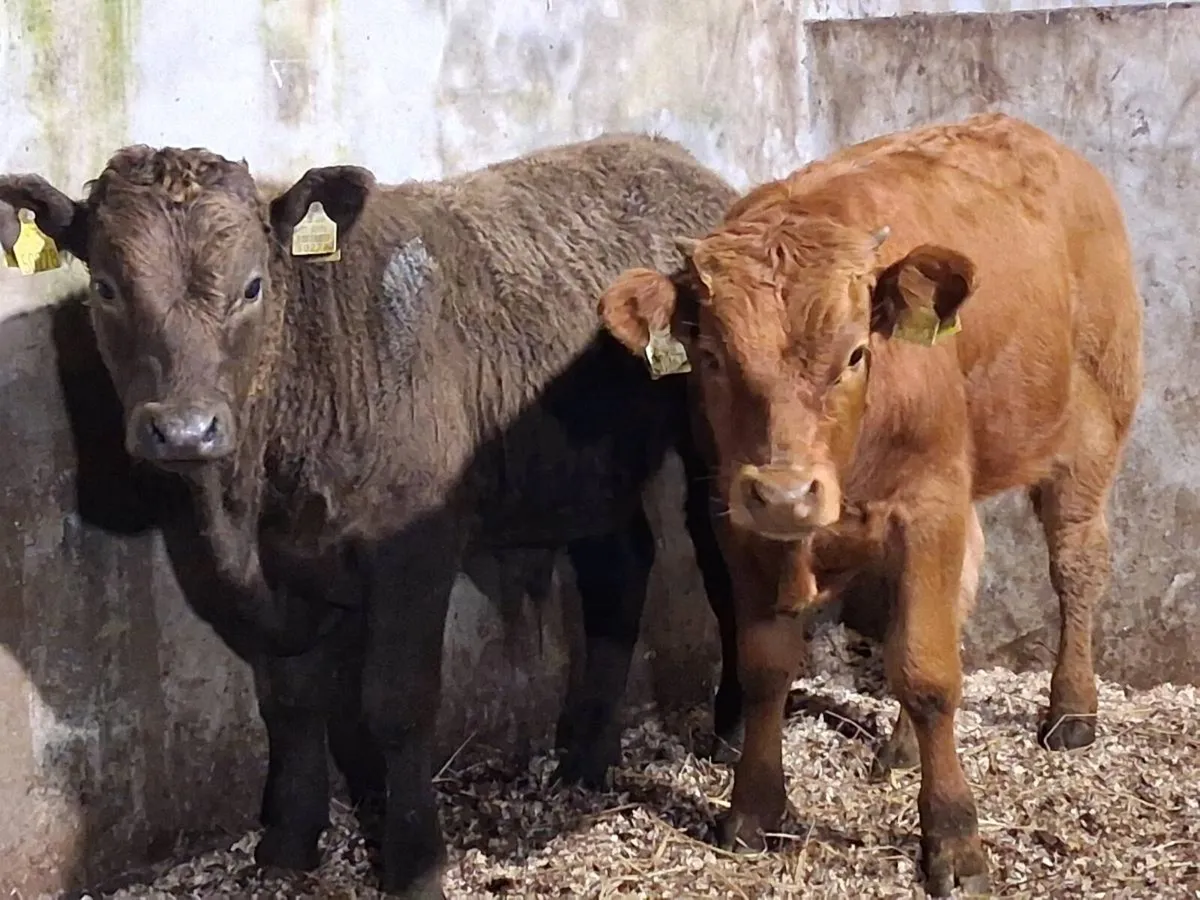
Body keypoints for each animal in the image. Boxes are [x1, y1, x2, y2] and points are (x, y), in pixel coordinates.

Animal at [0, 133, 744, 898]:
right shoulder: (283, 574)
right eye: (106, 287)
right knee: (619, 573)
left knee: (723, 573)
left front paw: (416, 862)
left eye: (252, 286)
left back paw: (729, 735)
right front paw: (289, 842)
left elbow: (395, 704)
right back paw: (587, 758)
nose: (184, 430)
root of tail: (667, 155)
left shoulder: (413, 553)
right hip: (587, 471)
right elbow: (292, 698)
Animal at [597, 112, 1143, 895]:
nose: (786, 492)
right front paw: (753, 809)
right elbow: (766, 664)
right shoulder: (740, 520)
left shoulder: (930, 505)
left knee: (1077, 565)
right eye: (712, 358)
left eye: (856, 353)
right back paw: (904, 746)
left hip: (1091, 430)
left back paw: (1071, 709)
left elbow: (927, 671)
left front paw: (953, 841)